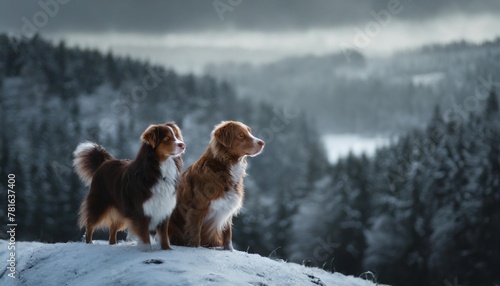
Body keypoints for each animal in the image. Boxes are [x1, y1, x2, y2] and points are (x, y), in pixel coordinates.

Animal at [73, 122, 185, 250]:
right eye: (167, 138)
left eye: (176, 136)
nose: (183, 145)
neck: (158, 170)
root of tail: (102, 164)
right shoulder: (141, 211)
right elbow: (144, 235)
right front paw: (147, 250)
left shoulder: (164, 209)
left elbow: (164, 234)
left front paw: (167, 249)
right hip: (99, 204)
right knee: (90, 224)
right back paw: (89, 243)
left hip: (123, 211)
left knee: (113, 228)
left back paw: (113, 245)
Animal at [169, 120, 264, 250]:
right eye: (241, 135)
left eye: (250, 132)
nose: (262, 143)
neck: (224, 167)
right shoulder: (197, 208)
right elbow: (195, 232)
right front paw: (194, 248)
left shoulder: (228, 205)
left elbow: (228, 233)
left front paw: (229, 250)